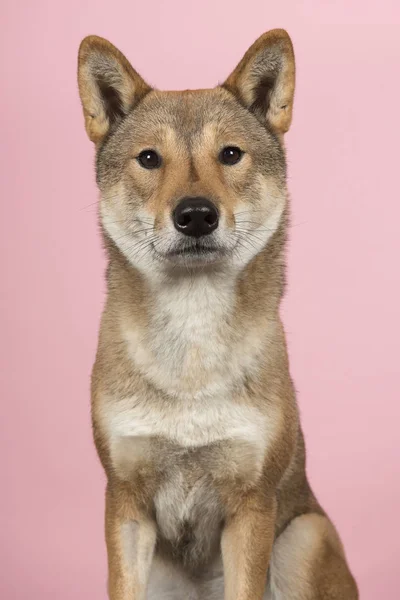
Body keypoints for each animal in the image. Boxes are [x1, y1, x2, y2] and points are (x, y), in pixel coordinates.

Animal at [76, 29, 358, 600]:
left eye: (230, 154)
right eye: (149, 158)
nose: (195, 215)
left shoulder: (252, 504)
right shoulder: (124, 500)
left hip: (303, 537)